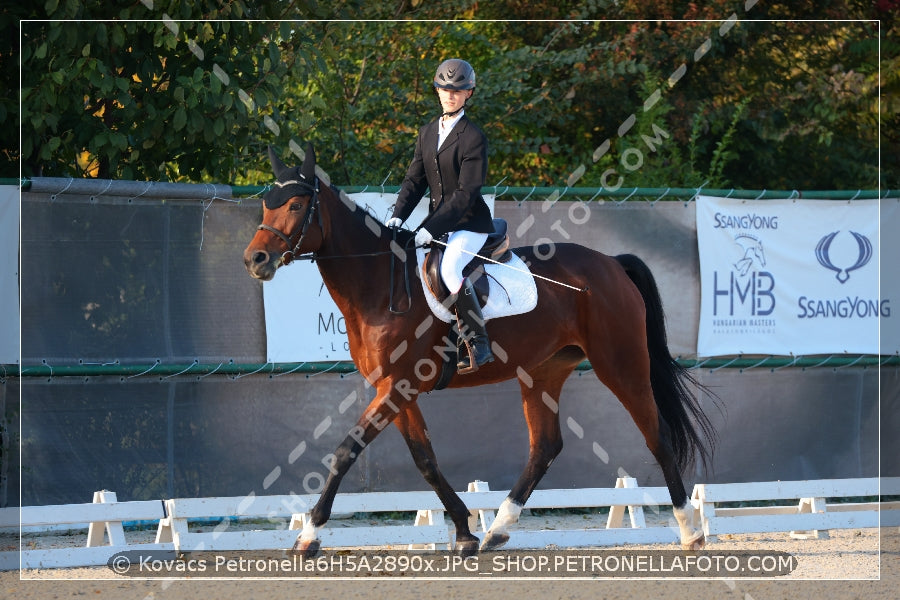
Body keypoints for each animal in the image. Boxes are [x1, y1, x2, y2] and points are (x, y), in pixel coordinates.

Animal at [241, 145, 716, 556]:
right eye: (266, 204)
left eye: (297, 205)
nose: (255, 259)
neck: (379, 286)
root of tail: (612, 264)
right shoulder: (395, 389)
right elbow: (425, 460)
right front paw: (465, 531)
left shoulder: (399, 386)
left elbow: (345, 450)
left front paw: (310, 534)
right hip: (542, 372)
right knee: (545, 446)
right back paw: (498, 529)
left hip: (620, 365)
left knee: (656, 435)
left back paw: (690, 531)